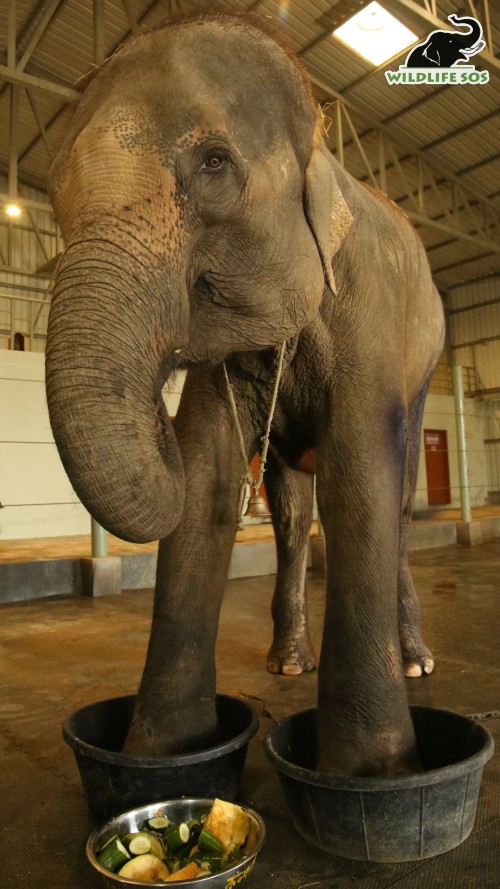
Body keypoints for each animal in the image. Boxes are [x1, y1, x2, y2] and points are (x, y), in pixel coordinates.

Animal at [46, 13, 446, 776]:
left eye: (213, 163)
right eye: (54, 191)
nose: (157, 389)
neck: (321, 144)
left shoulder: (371, 316)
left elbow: (361, 478)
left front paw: (370, 772)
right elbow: (205, 475)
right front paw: (161, 753)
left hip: (424, 368)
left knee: (402, 495)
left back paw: (415, 662)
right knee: (291, 512)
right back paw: (287, 664)